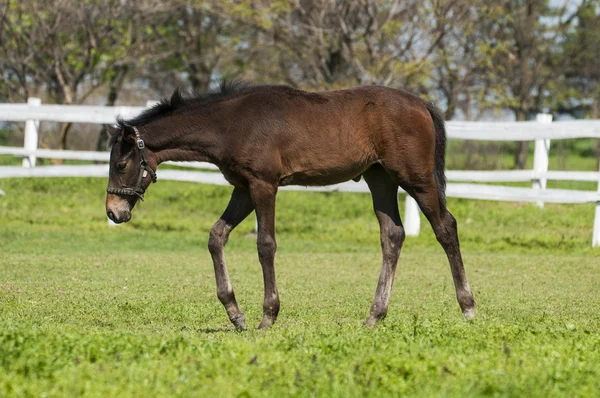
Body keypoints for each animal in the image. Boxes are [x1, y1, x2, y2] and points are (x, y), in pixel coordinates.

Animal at [105, 81, 476, 330]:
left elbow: (265, 245)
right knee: (393, 236)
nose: (113, 211)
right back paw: (374, 316)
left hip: (416, 178)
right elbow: (216, 236)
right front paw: (235, 313)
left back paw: (468, 307)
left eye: (120, 164)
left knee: (446, 227)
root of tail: (423, 105)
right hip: (380, 178)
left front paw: (268, 316)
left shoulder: (264, 185)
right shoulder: (243, 188)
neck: (232, 123)